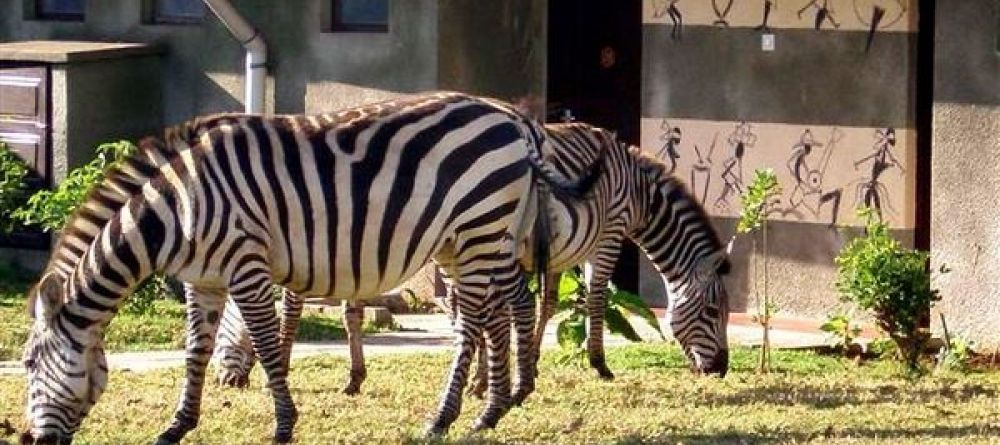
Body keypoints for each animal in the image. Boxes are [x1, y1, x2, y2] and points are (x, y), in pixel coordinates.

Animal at [20, 92, 596, 444]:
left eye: (26, 365)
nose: (31, 439)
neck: (177, 210)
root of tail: (514, 119)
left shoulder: (246, 267)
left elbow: (269, 345)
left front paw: (282, 425)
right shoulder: (203, 281)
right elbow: (194, 354)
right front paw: (176, 426)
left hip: (480, 227)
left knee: (474, 322)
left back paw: (443, 418)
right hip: (472, 239)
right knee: (499, 313)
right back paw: (490, 411)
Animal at [212, 121, 732, 395]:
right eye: (713, 311)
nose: (722, 369)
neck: (641, 194)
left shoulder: (583, 242)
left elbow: (568, 304)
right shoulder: (608, 233)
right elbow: (595, 300)